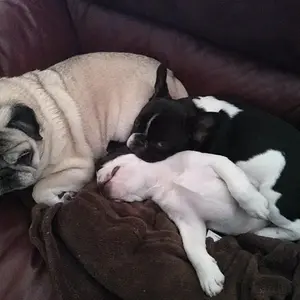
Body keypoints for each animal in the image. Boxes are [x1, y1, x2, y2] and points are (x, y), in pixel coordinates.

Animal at [96, 151, 270, 296]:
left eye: (104, 165)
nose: (98, 186)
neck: (162, 179)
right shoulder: (189, 220)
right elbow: (192, 249)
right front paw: (208, 275)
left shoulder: (217, 161)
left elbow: (238, 184)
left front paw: (254, 203)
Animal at [125, 63, 300, 241]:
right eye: (136, 123)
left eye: (161, 144)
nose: (138, 141)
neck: (195, 111)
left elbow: (235, 177)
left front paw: (253, 204)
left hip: (274, 199)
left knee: (295, 229)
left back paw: (262, 233)